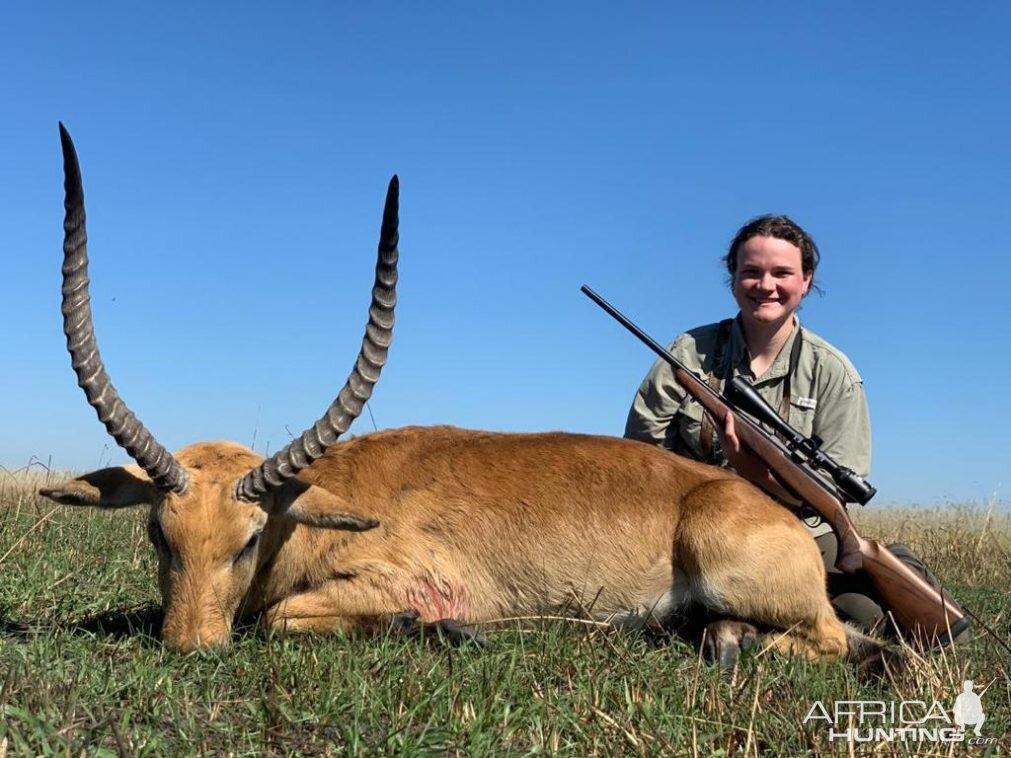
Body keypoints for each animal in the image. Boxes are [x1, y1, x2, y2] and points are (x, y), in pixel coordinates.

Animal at [41, 124, 877, 662]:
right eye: (159, 534)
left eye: (247, 539)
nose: (188, 649)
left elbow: (281, 618)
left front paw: (440, 629)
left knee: (833, 642)